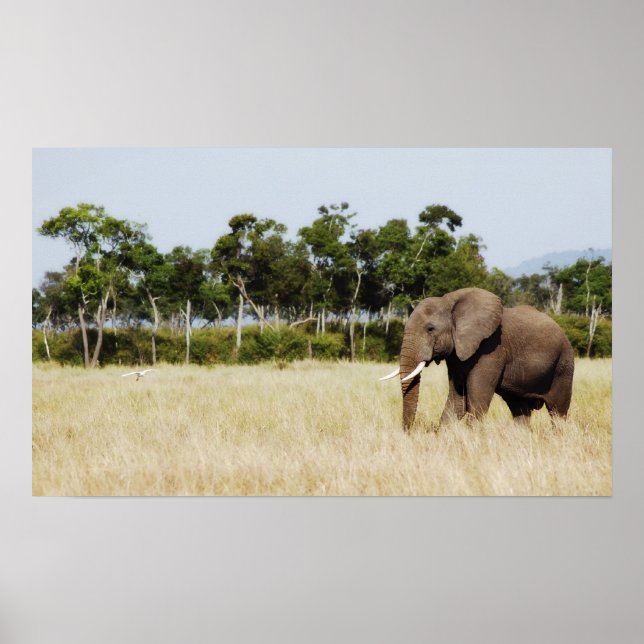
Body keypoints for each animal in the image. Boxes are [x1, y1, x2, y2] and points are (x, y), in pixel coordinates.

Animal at [380, 287, 574, 430]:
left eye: (430, 329)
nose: (407, 433)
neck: (450, 303)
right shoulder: (457, 355)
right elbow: (457, 401)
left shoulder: (491, 348)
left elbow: (477, 402)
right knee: (520, 410)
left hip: (563, 364)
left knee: (558, 412)